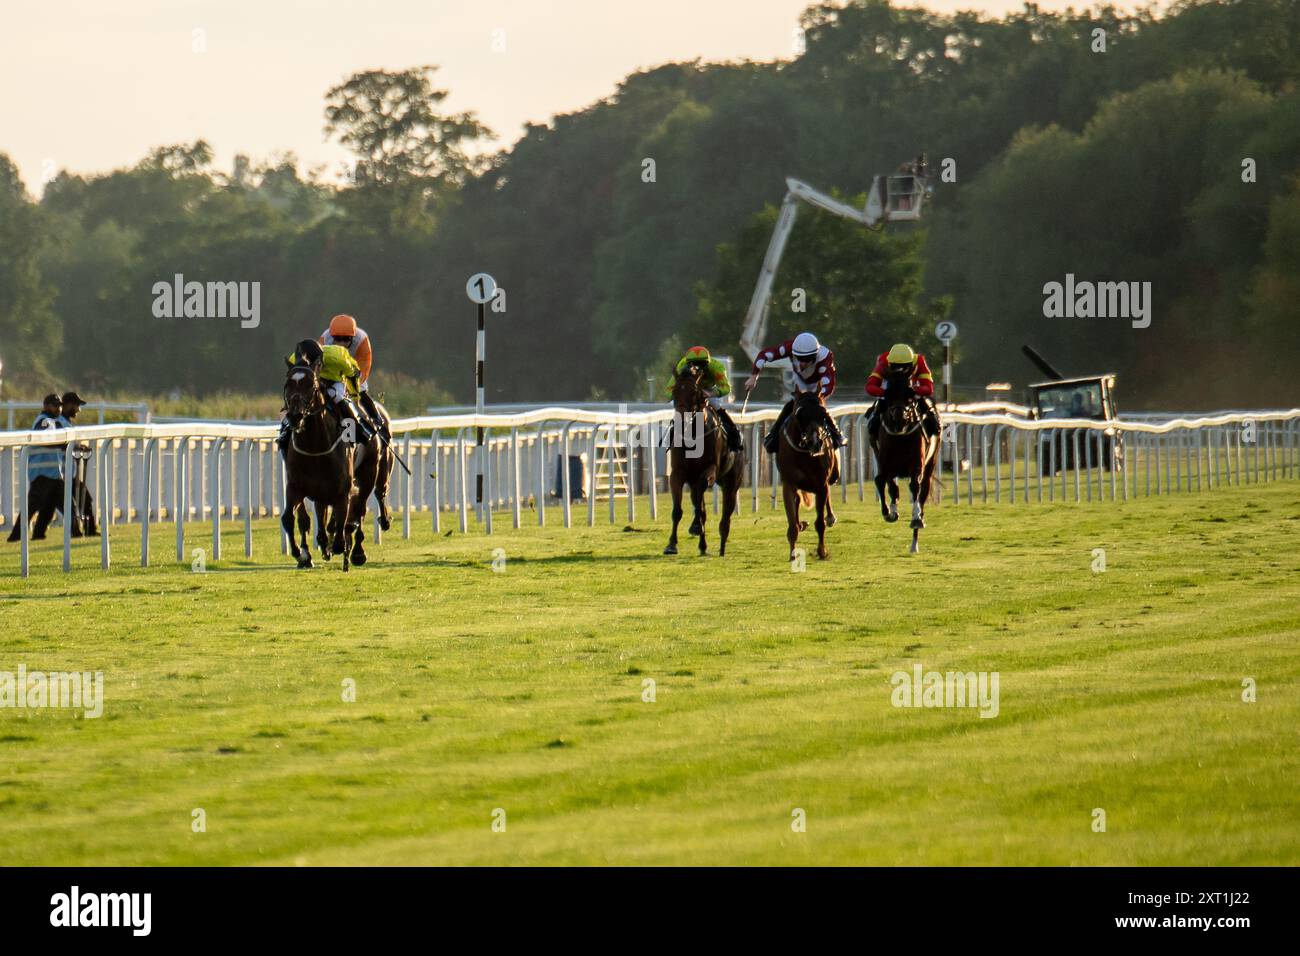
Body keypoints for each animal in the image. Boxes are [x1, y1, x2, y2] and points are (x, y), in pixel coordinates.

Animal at [282, 364, 358, 572]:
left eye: (311, 385)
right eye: (288, 384)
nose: (295, 415)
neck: (316, 448)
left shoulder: (342, 491)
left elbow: (340, 525)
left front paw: (338, 547)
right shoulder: (295, 487)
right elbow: (289, 519)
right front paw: (299, 553)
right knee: (307, 520)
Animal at [665, 361, 748, 556]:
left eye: (694, 393)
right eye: (674, 392)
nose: (680, 422)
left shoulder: (709, 470)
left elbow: (700, 504)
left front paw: (695, 526)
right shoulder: (678, 473)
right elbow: (678, 510)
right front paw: (671, 544)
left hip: (732, 483)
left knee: (726, 517)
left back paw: (722, 547)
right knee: (701, 506)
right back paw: (703, 545)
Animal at [769, 392, 842, 564]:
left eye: (823, 413)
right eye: (800, 414)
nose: (815, 441)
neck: (804, 453)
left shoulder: (821, 484)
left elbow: (820, 523)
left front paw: (822, 552)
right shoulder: (788, 484)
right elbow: (792, 522)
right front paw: (792, 554)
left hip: (833, 475)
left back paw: (830, 517)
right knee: (797, 503)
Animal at [868, 371, 941, 554]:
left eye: (909, 395)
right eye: (889, 394)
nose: (899, 416)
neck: (900, 435)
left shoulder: (916, 465)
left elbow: (915, 485)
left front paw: (915, 518)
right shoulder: (885, 463)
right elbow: (882, 481)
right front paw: (889, 512)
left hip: (930, 463)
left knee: (922, 492)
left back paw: (914, 542)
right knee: (891, 485)